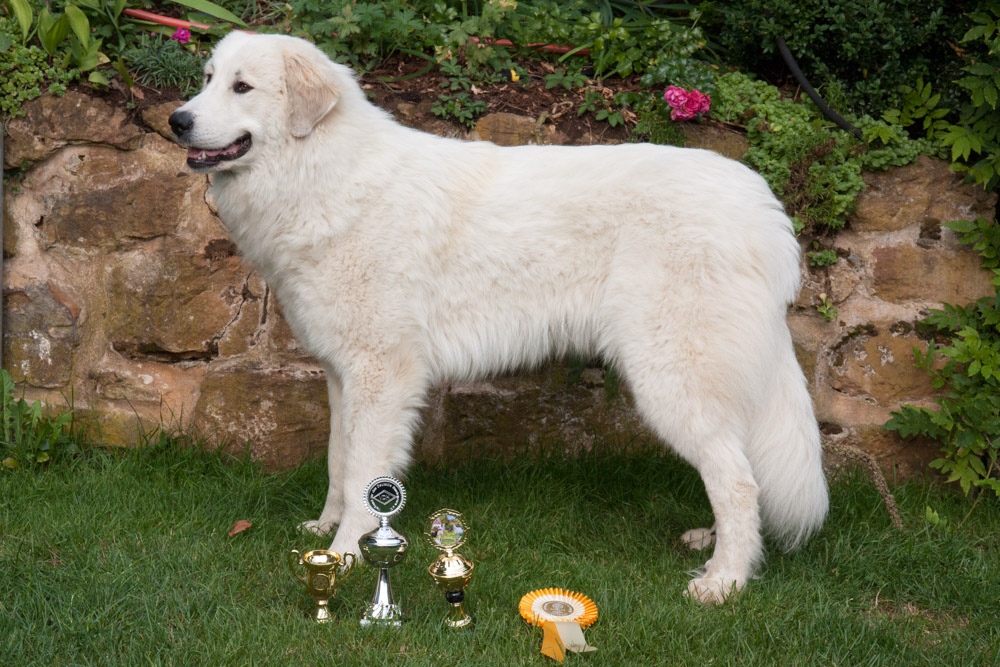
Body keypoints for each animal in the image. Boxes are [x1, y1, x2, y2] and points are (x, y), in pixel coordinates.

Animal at [172, 32, 828, 604]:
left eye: (242, 87)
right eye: (207, 79)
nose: (178, 120)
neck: (322, 171)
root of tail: (763, 207)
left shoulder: (382, 374)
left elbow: (363, 473)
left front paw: (347, 554)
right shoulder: (344, 373)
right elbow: (339, 462)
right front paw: (323, 532)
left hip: (672, 377)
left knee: (737, 480)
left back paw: (724, 582)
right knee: (738, 469)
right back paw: (714, 546)